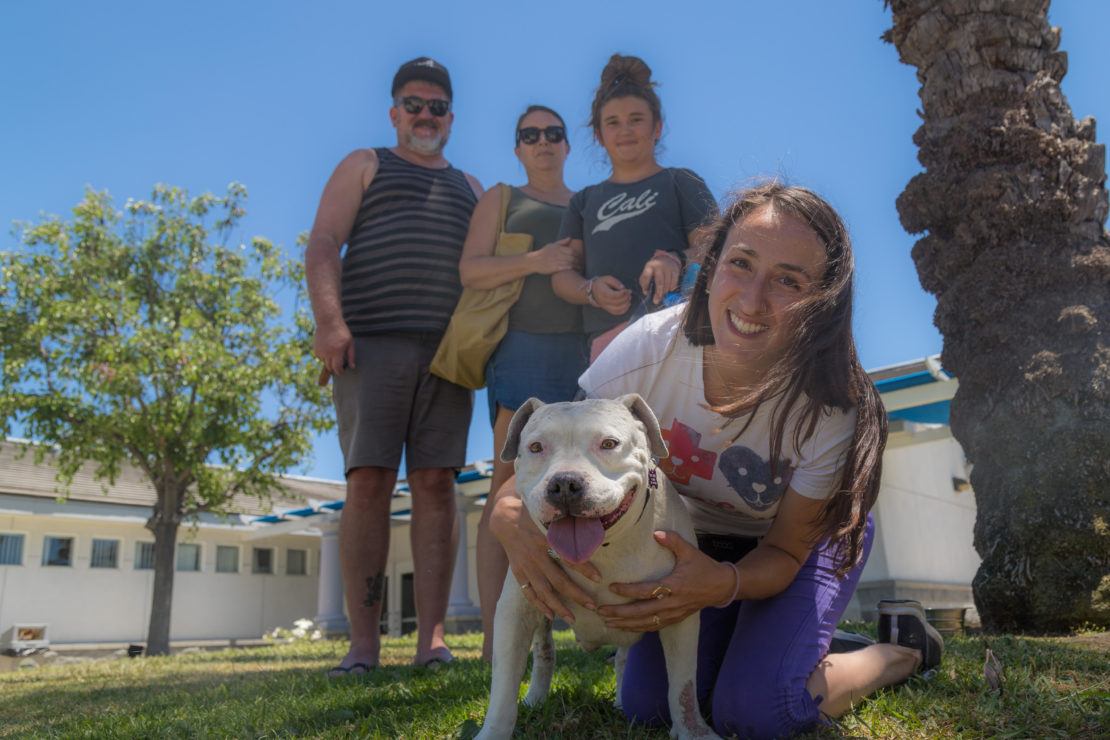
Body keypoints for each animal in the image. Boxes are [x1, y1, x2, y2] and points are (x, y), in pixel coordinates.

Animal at [475, 397, 719, 740]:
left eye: (609, 443)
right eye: (536, 447)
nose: (564, 483)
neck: (606, 550)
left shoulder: (680, 612)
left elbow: (683, 686)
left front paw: (693, 731)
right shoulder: (516, 610)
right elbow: (504, 686)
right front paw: (494, 731)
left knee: (623, 660)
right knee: (544, 652)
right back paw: (536, 698)